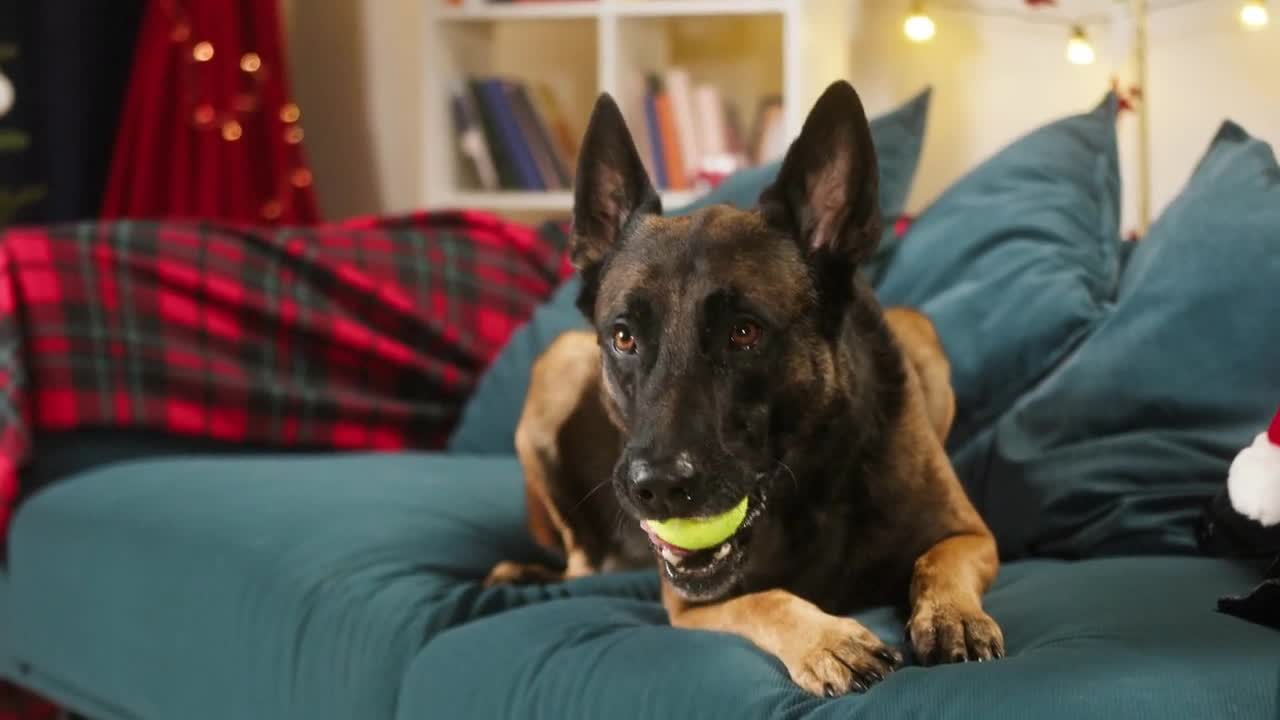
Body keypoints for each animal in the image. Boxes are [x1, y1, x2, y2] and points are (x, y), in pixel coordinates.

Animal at [483, 78, 1003, 696]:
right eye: (624, 337)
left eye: (744, 332)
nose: (657, 489)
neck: (808, 492)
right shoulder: (691, 603)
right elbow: (765, 599)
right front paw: (828, 640)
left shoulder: (972, 536)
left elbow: (938, 562)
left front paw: (954, 615)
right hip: (557, 369)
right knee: (581, 561)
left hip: (920, 335)